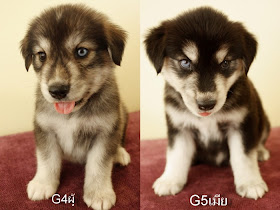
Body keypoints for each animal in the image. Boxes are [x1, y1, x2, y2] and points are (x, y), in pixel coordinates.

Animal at [20, 4, 130, 209]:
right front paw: (43, 183)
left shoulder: (105, 132)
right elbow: (47, 160)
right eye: (42, 55)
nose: (57, 91)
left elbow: (99, 165)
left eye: (81, 52)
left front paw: (99, 194)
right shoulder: (44, 129)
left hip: (123, 116)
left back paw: (119, 153)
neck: (73, 114)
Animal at [144, 6, 270, 200]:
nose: (206, 104)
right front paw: (170, 180)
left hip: (263, 121)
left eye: (225, 62)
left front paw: (250, 183)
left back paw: (261, 152)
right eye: (185, 62)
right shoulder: (179, 128)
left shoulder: (242, 125)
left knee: (260, 140)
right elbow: (176, 155)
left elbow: (244, 157)